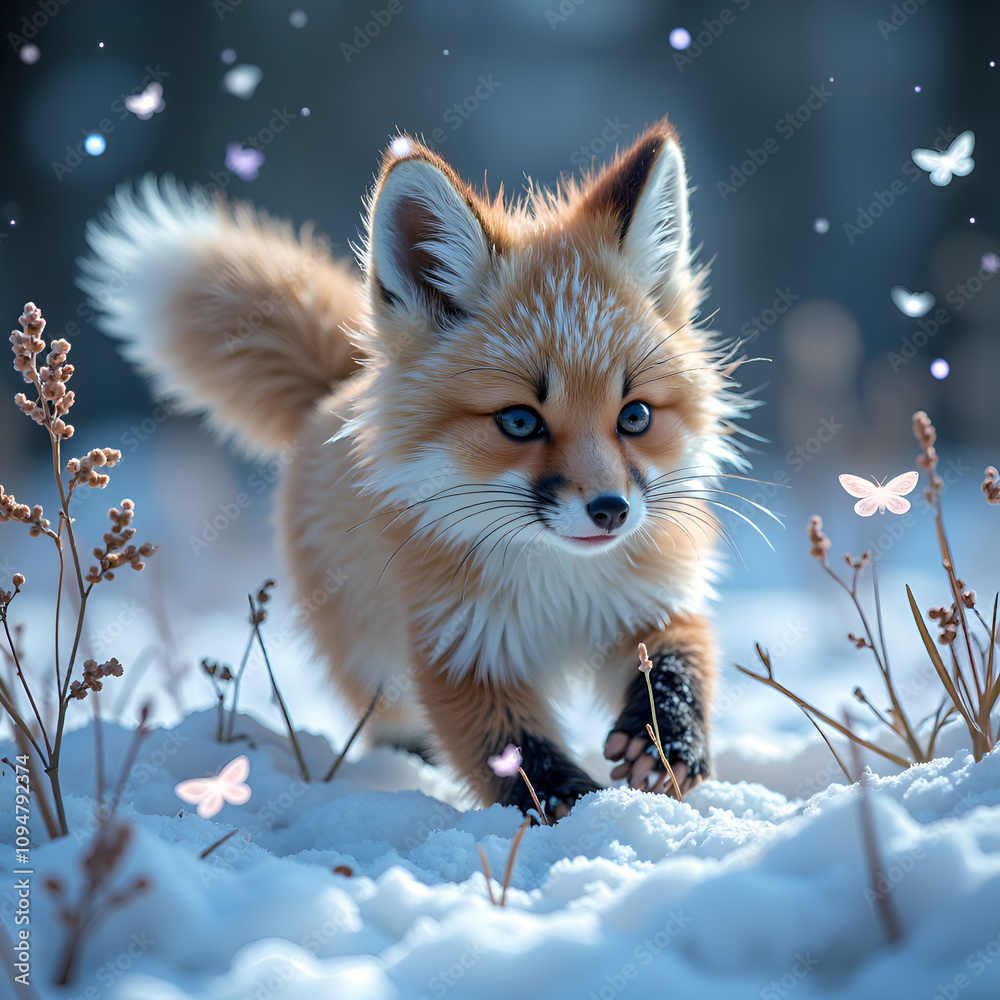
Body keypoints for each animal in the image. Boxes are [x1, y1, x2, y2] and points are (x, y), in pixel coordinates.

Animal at [79, 116, 755, 818]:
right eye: (519, 422)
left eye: (635, 416)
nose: (611, 510)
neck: (560, 587)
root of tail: (344, 385)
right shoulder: (456, 652)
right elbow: (521, 764)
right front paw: (579, 814)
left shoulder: (654, 601)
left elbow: (683, 660)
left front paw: (665, 742)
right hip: (369, 655)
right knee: (388, 719)